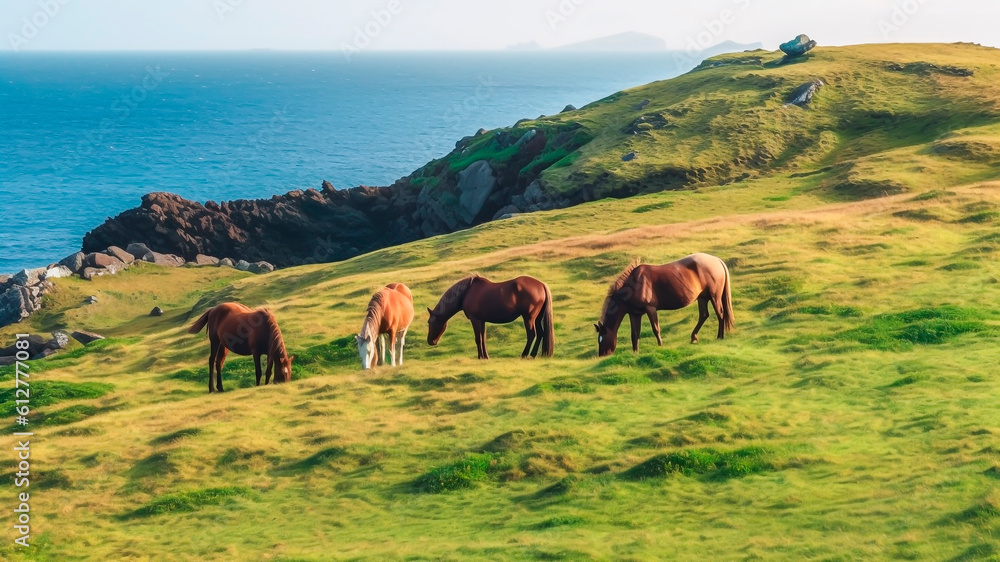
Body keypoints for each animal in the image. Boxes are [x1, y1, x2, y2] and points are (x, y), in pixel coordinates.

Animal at [428, 274, 560, 358]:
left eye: (430, 322)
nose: (430, 341)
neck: (466, 292)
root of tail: (541, 285)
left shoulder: (475, 320)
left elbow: (478, 339)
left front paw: (480, 357)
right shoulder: (481, 321)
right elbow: (483, 338)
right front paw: (485, 356)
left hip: (529, 318)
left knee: (532, 334)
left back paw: (524, 354)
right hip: (537, 318)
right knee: (541, 333)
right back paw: (532, 355)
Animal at [592, 253, 736, 354]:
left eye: (602, 339)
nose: (602, 355)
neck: (634, 285)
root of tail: (717, 261)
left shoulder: (650, 308)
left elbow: (656, 329)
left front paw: (660, 345)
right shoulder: (635, 314)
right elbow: (635, 334)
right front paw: (635, 352)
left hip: (714, 296)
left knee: (720, 314)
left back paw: (720, 336)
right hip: (702, 297)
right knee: (704, 315)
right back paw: (694, 337)